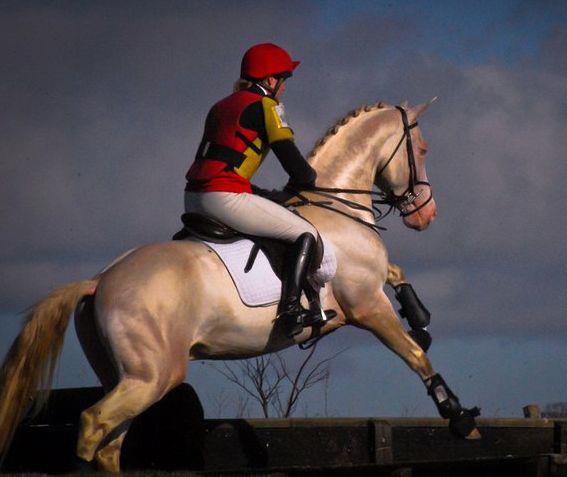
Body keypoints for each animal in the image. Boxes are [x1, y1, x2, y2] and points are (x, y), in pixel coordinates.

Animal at [0, 101, 480, 472]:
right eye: (423, 149)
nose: (426, 214)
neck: (335, 205)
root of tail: (100, 281)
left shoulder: (371, 287)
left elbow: (398, 276)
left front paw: (421, 319)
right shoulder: (366, 305)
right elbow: (415, 355)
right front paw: (460, 417)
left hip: (128, 377)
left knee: (109, 444)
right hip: (153, 375)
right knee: (92, 425)